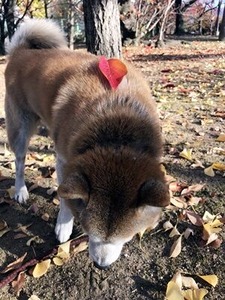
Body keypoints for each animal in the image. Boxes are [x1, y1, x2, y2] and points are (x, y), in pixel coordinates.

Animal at [4, 18, 170, 268]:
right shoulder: (65, 160)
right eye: (91, 233)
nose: (101, 265)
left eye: (125, 237)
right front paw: (64, 225)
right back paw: (21, 190)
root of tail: (21, 51)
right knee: (20, 161)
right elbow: (66, 198)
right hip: (20, 127)